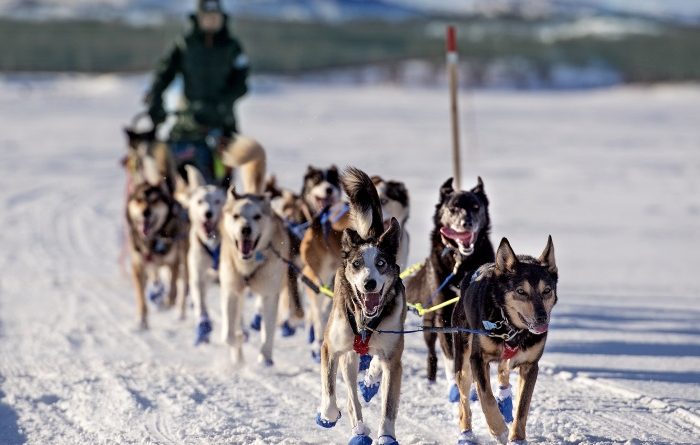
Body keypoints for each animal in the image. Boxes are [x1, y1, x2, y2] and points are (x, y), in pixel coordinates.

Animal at [318, 166, 404, 444]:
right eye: (357, 264)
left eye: (381, 263)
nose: (369, 283)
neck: (366, 321)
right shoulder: (330, 348)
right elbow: (330, 390)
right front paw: (327, 415)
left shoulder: (394, 361)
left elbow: (388, 406)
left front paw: (386, 436)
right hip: (348, 357)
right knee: (352, 399)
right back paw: (358, 429)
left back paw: (371, 380)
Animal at [454, 238, 556, 442]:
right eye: (521, 291)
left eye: (547, 290)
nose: (542, 318)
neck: (512, 329)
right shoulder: (478, 360)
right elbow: (487, 398)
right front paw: (499, 430)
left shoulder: (530, 366)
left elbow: (523, 407)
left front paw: (517, 438)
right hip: (464, 364)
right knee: (464, 402)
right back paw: (466, 434)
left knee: (503, 373)